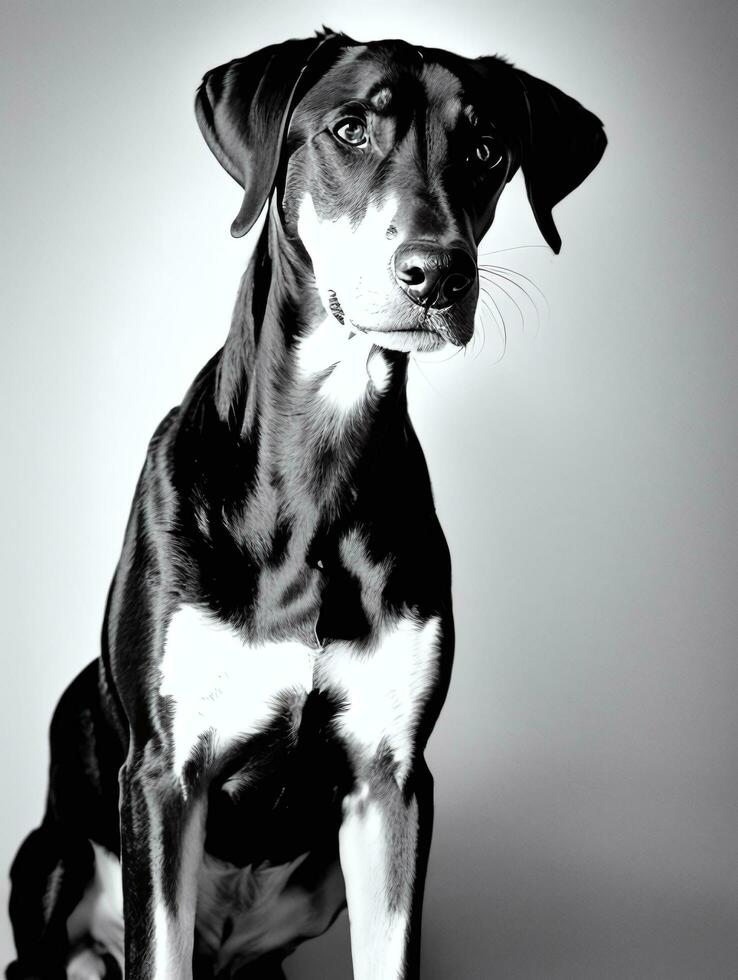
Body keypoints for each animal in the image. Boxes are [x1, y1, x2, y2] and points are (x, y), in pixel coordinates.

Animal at [7, 26, 604, 976]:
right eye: (351, 129)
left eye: (486, 150)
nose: (439, 273)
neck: (319, 458)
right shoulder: (165, 775)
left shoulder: (394, 783)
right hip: (50, 860)